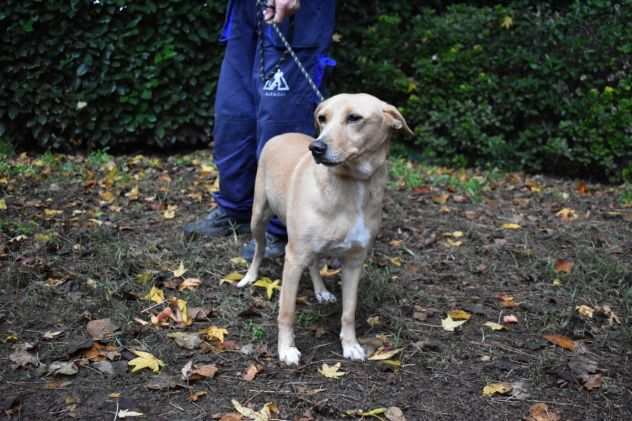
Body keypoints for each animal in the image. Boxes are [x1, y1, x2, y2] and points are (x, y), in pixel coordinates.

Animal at [238, 92, 414, 364]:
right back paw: (250, 276)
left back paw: (321, 291)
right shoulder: (293, 257)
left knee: (313, 262)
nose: (316, 148)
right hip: (258, 216)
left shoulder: (354, 262)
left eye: (354, 118)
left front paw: (350, 345)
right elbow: (287, 312)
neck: (353, 184)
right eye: (322, 118)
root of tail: (281, 134)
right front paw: (286, 349)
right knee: (260, 247)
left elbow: (349, 311)